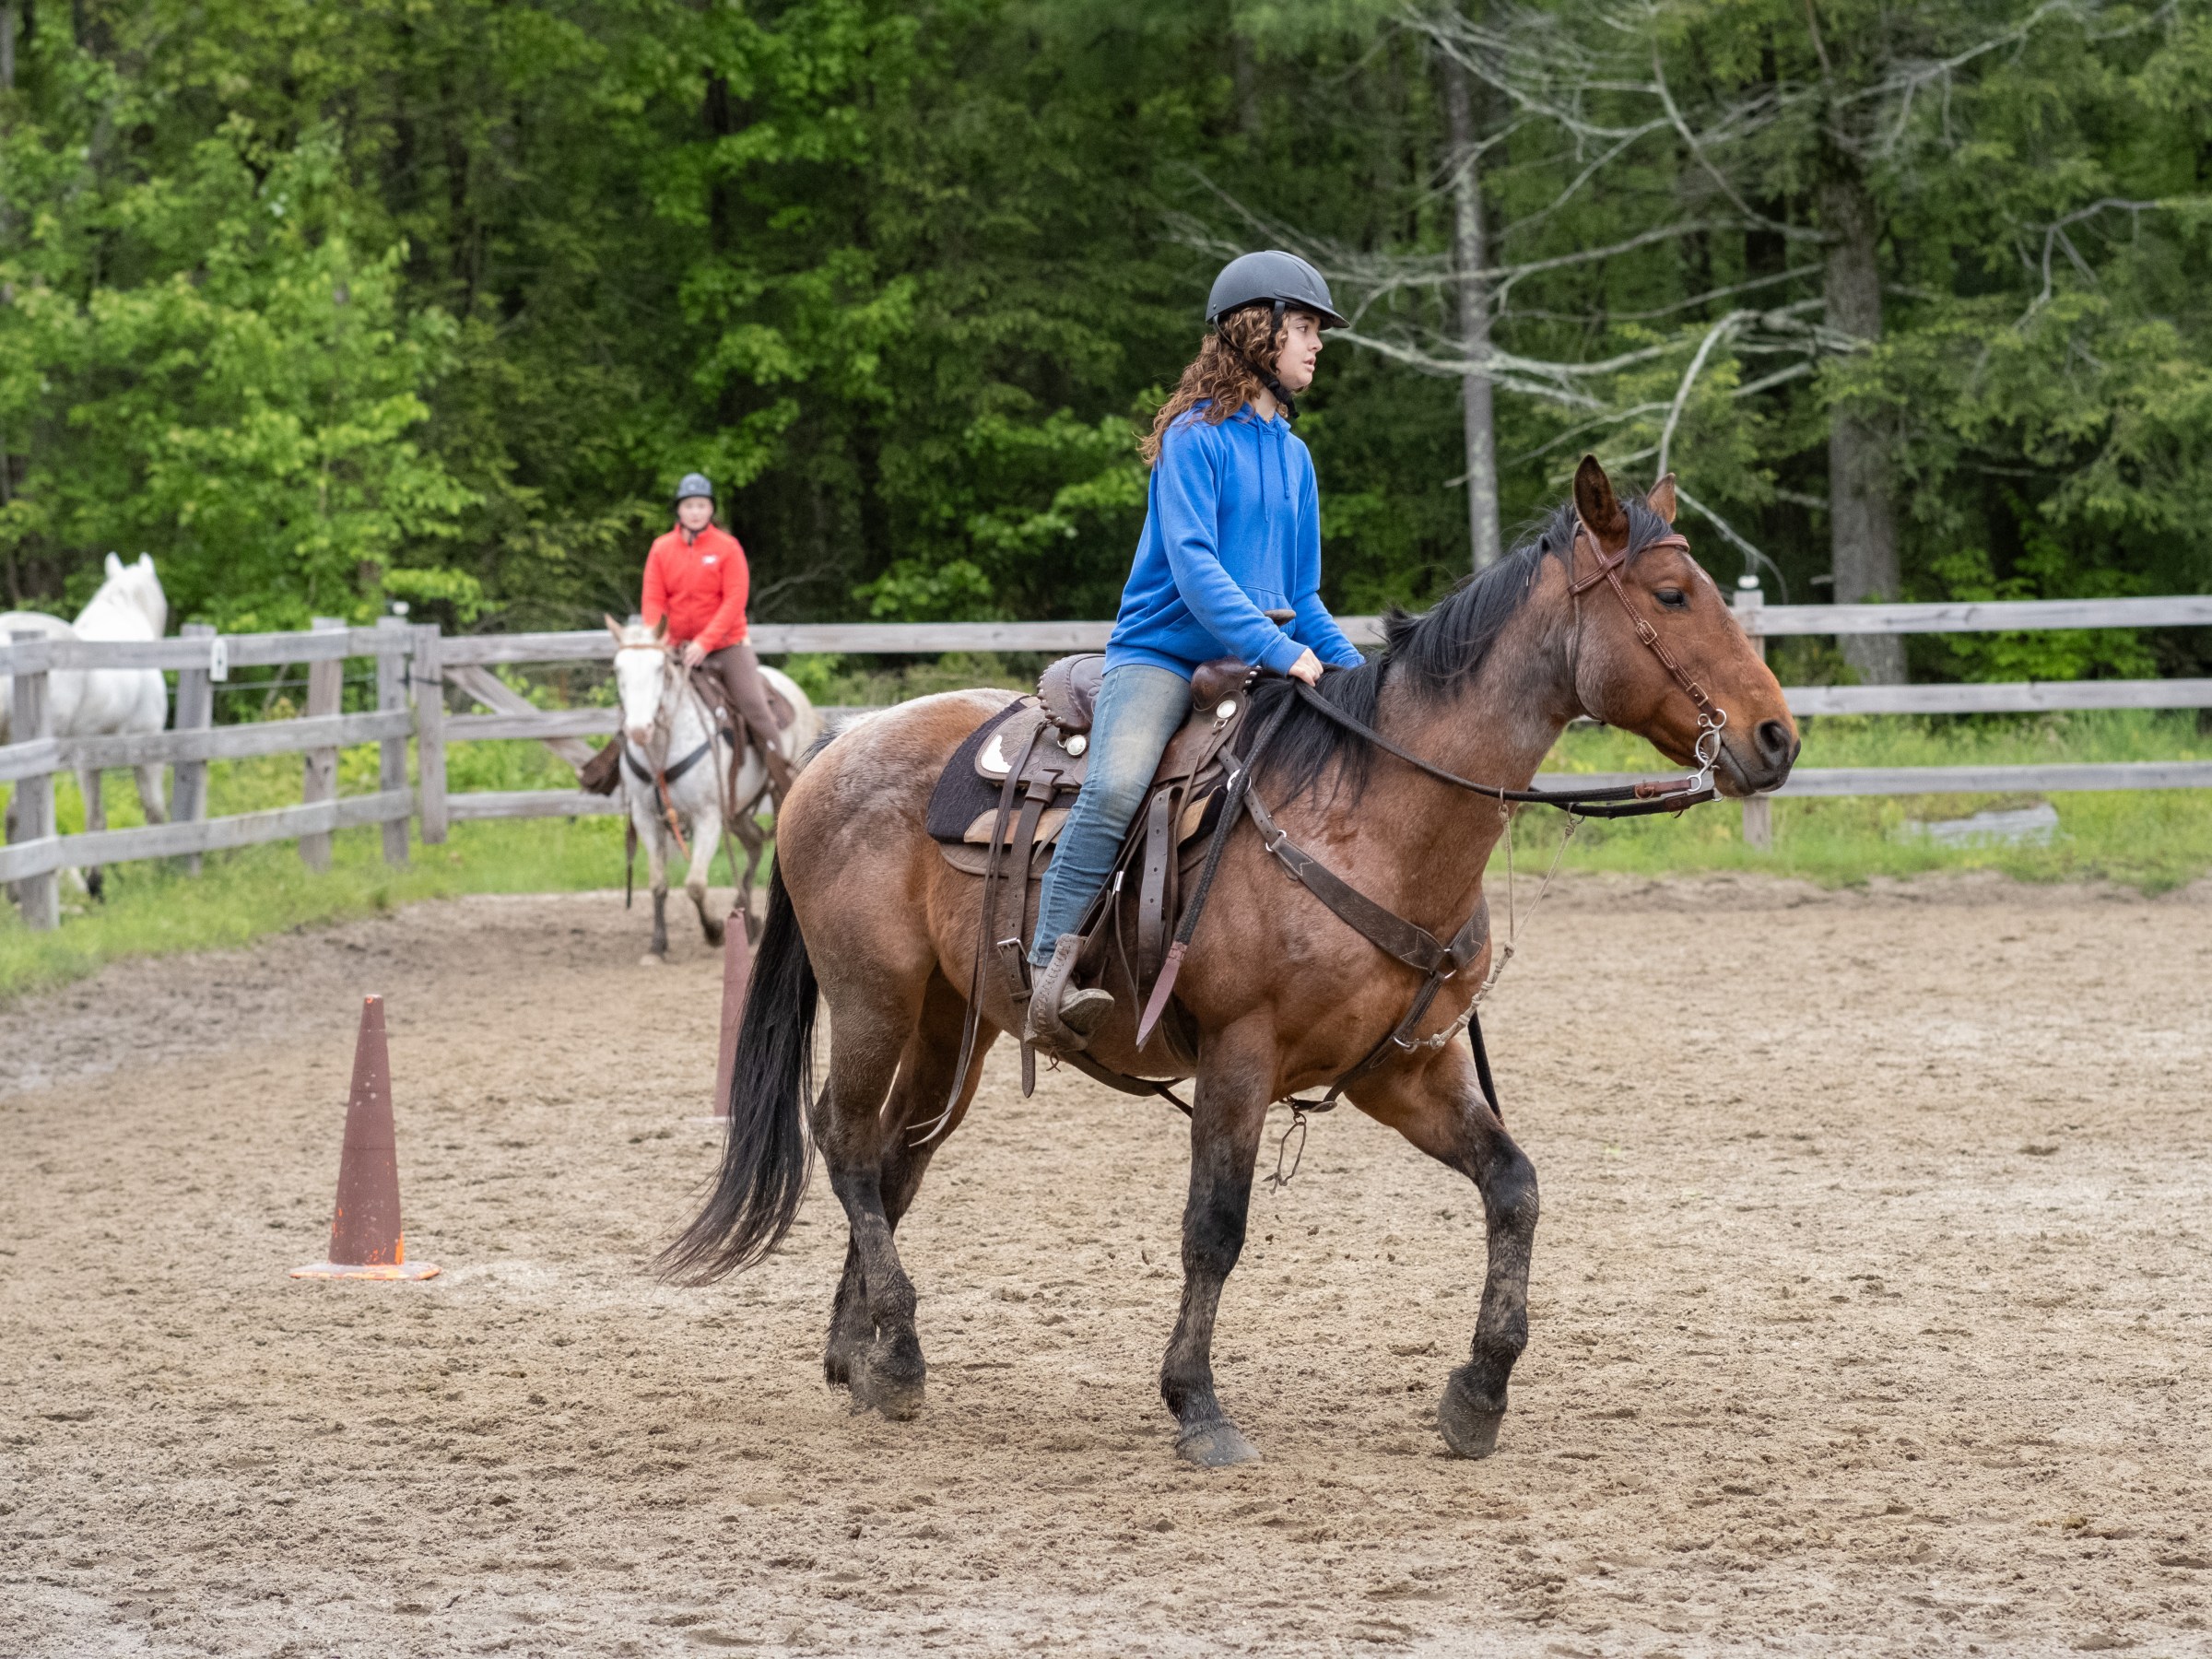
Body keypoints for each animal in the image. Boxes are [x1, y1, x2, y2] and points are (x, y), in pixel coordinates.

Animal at [2, 554, 171, 898]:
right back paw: (19, 895)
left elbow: (95, 819)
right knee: (16, 818)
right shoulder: (147, 748)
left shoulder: (87, 763)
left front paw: (96, 885)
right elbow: (154, 810)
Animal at [606, 616, 821, 960]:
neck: (663, 748)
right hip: (735, 812)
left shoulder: (707, 816)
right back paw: (747, 917)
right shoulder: (645, 817)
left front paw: (715, 931)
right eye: (618, 669)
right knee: (754, 845)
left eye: (660, 669)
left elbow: (695, 884)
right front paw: (657, 945)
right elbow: (658, 882)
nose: (639, 730)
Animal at [662, 459, 1800, 1468]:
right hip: (874, 999)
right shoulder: (1240, 1056)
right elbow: (1215, 1227)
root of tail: (831, 753)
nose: (1777, 737)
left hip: (957, 1023)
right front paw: (1196, 1404)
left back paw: (858, 1356)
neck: (1371, 814)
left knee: (899, 1157)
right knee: (847, 1143)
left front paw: (1478, 1394)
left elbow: (1513, 1188)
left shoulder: (1405, 1069)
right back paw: (895, 1353)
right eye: (1671, 594)